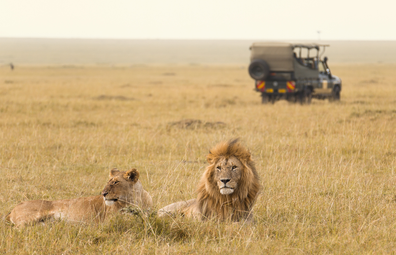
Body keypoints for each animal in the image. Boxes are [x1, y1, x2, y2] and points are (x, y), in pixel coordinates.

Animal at [5, 168, 152, 226]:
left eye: (116, 182)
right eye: (109, 181)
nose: (103, 193)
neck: (136, 200)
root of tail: (12, 209)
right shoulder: (109, 221)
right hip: (30, 217)